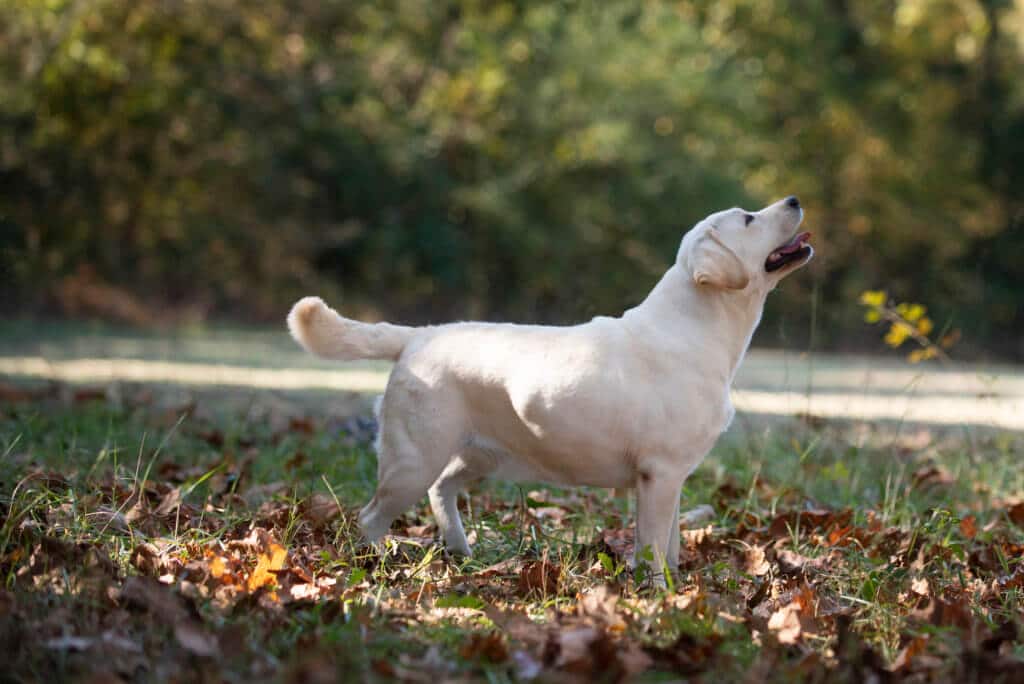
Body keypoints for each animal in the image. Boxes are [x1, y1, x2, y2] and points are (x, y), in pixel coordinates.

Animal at [290, 194, 815, 585]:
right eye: (748, 218)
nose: (794, 199)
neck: (699, 326)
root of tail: (418, 335)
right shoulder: (661, 473)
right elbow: (652, 545)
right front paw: (658, 596)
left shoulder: (673, 478)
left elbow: (669, 544)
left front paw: (677, 588)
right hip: (414, 458)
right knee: (372, 515)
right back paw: (378, 565)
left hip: (477, 453)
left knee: (442, 489)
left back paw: (460, 549)